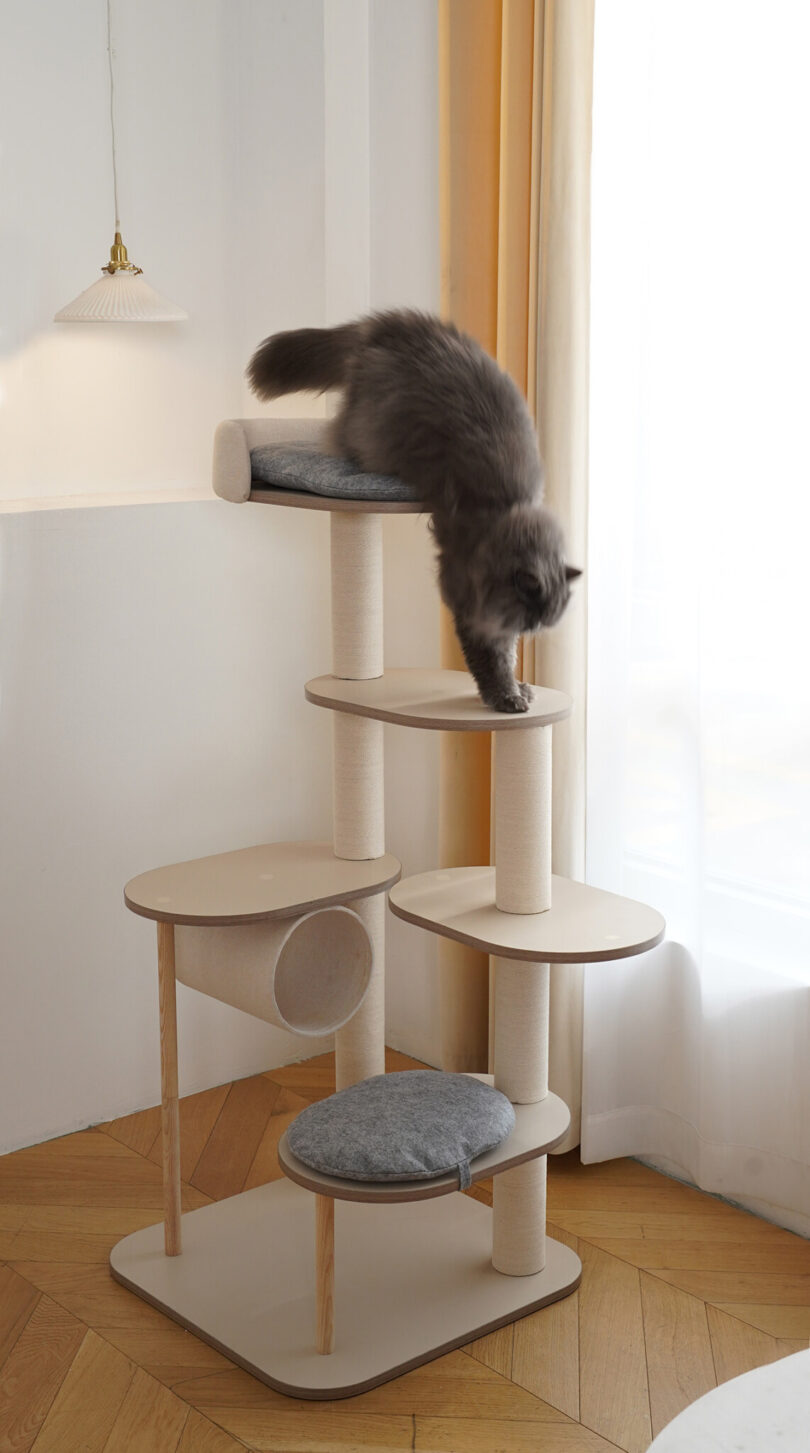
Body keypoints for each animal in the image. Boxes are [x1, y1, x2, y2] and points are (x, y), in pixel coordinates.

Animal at [250, 309, 578, 711]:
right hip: (369, 428)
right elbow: (491, 659)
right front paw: (505, 696)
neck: (507, 512)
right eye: (532, 614)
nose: (531, 629)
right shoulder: (470, 602)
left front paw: (520, 688)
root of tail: (388, 325)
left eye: (545, 620)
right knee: (339, 436)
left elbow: (507, 655)